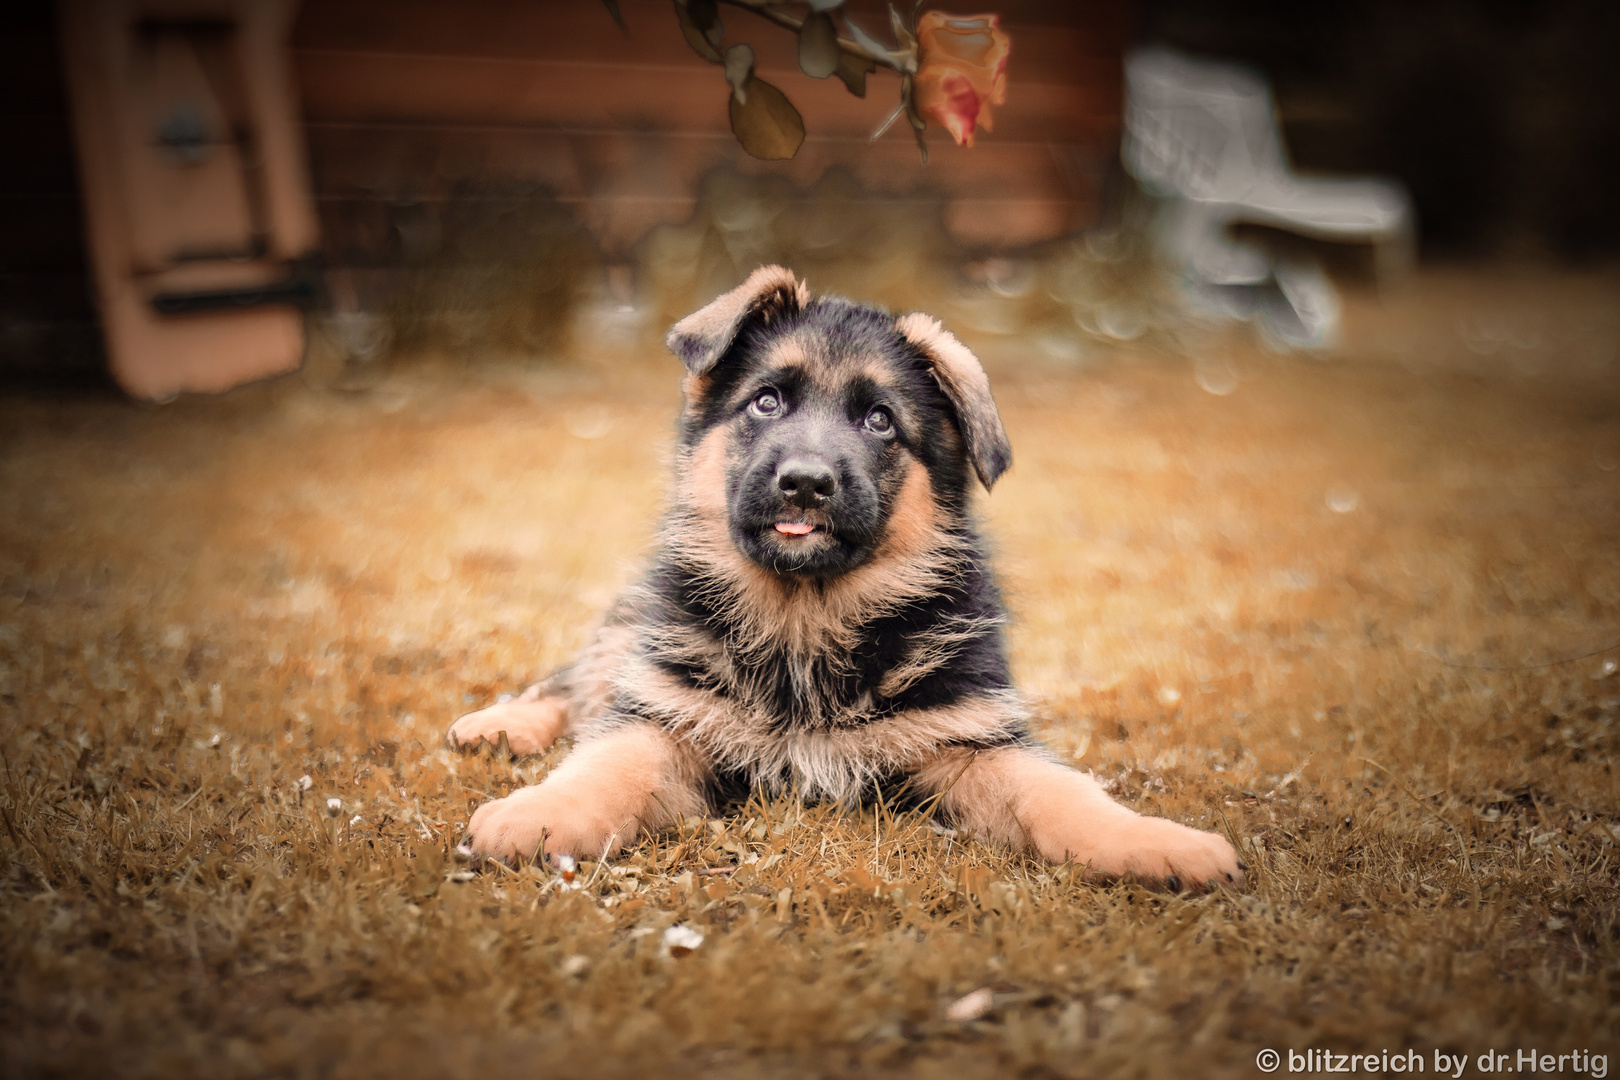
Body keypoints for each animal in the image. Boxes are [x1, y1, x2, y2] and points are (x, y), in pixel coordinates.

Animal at [450, 265, 1244, 893]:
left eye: (881, 421)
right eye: (766, 401)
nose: (805, 483)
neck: (807, 617)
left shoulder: (967, 740)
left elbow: (1064, 793)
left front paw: (1155, 842)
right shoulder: (670, 714)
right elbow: (605, 764)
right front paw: (537, 813)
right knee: (579, 679)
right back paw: (500, 724)